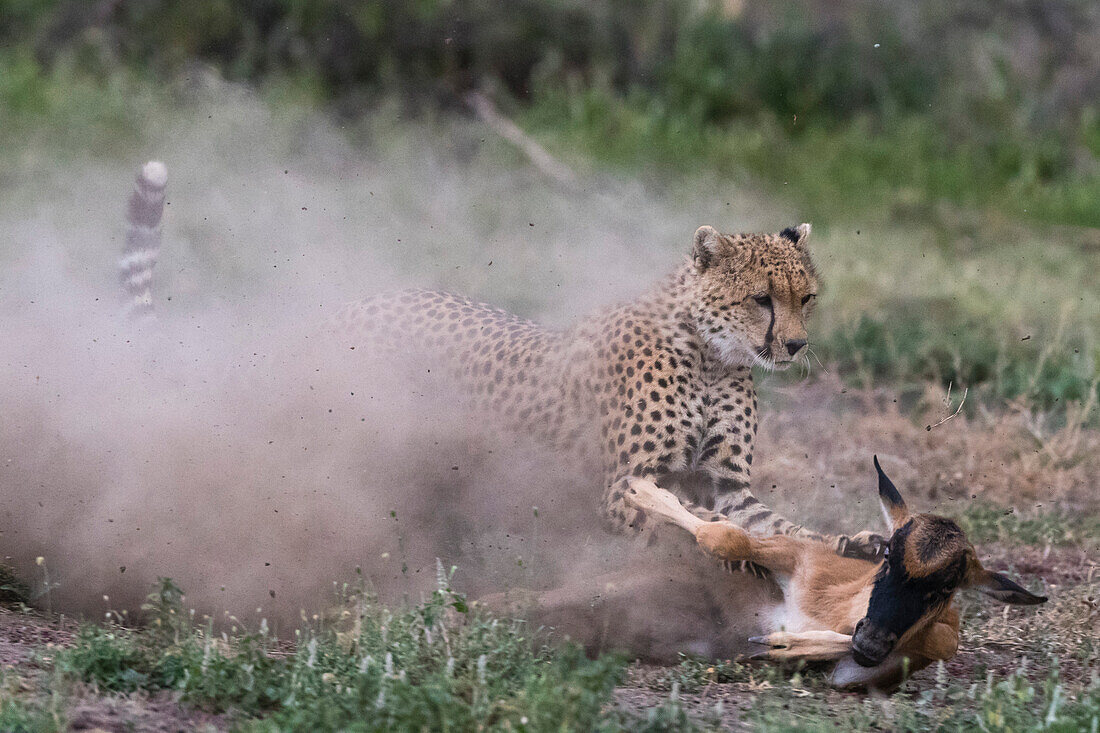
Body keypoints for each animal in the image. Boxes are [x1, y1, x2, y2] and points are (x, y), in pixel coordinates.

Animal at [332, 224, 884, 559]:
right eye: (762, 299)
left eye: (806, 298)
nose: (796, 345)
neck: (709, 357)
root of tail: (366, 299)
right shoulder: (625, 484)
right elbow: (704, 520)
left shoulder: (726, 485)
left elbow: (778, 524)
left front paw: (842, 542)